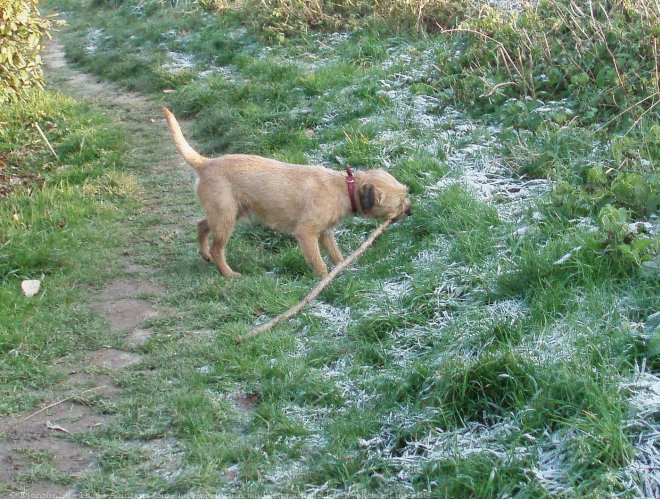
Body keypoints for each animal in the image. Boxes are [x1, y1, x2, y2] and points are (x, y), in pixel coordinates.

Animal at [162, 107, 410, 278]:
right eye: (398, 203)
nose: (410, 211)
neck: (344, 187)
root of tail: (206, 163)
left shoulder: (324, 233)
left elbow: (335, 255)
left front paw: (341, 269)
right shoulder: (307, 234)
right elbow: (318, 261)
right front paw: (324, 279)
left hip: (229, 213)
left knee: (202, 225)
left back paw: (204, 255)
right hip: (225, 218)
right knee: (217, 248)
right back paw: (228, 273)